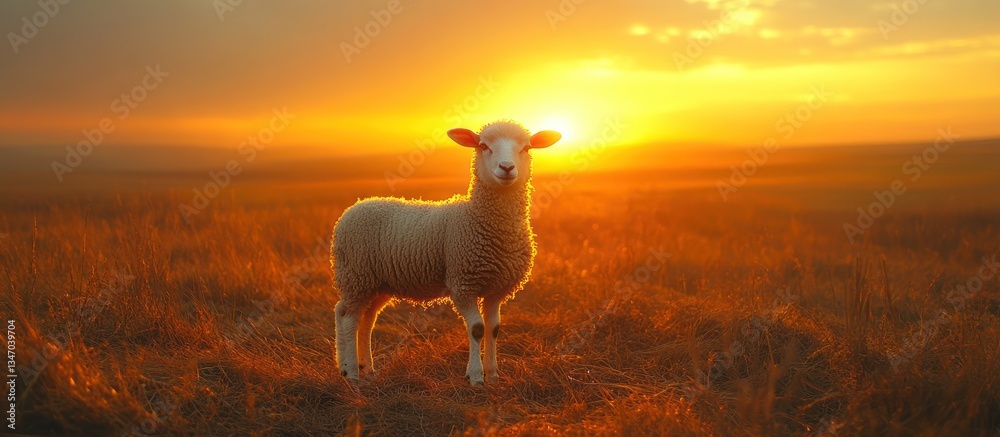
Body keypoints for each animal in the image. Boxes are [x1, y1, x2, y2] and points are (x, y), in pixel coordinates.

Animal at [330, 120, 561, 386]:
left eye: (526, 147)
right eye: (483, 146)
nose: (506, 167)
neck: (479, 219)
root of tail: (355, 206)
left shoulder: (497, 288)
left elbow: (493, 329)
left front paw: (493, 374)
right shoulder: (462, 283)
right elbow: (477, 329)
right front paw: (475, 376)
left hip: (376, 283)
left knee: (364, 320)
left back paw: (366, 368)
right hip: (356, 275)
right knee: (348, 316)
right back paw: (351, 371)